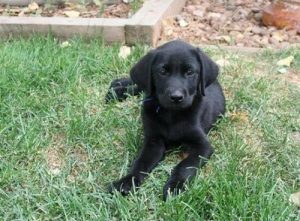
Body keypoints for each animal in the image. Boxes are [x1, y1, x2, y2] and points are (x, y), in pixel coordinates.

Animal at [108, 40, 225, 200]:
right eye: (162, 72)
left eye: (190, 72)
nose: (176, 97)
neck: (172, 114)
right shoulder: (153, 141)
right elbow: (140, 162)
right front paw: (126, 181)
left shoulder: (203, 146)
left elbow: (185, 165)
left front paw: (175, 186)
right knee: (142, 86)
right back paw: (117, 88)